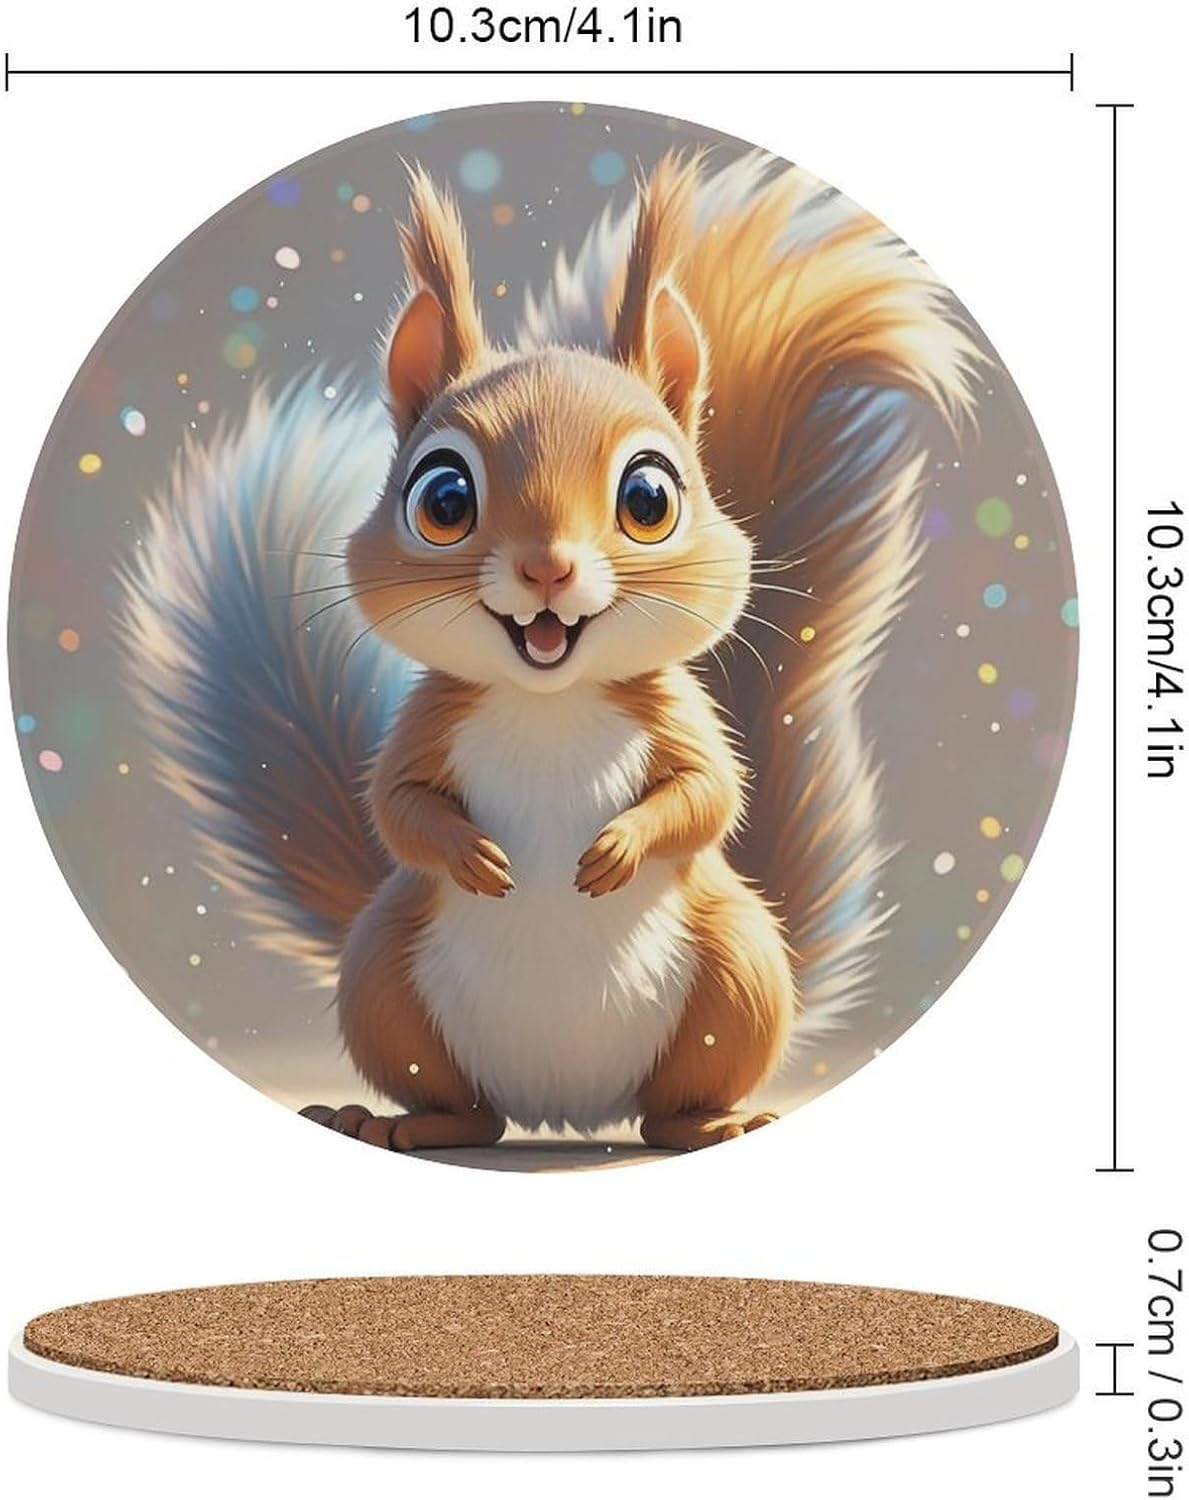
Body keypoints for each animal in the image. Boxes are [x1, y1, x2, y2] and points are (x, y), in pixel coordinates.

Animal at [120, 149, 978, 1153]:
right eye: (443, 500)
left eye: (649, 498)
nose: (546, 568)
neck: (549, 698)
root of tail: (566, 1106)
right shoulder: (426, 724)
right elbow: (396, 808)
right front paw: (472, 855)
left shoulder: (680, 719)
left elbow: (708, 795)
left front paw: (618, 846)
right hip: (382, 982)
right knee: (470, 1113)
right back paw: (387, 1120)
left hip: (737, 974)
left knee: (665, 1112)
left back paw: (715, 1123)